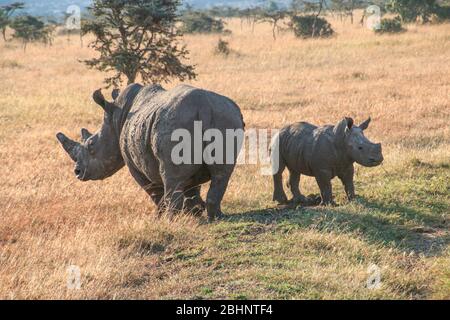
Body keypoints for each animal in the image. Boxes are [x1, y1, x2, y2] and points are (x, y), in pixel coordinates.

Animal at [58, 84, 246, 221]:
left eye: (91, 145)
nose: (77, 172)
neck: (114, 120)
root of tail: (204, 107)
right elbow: (192, 187)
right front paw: (194, 212)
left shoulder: (132, 163)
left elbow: (153, 189)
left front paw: (159, 217)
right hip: (226, 116)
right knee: (222, 173)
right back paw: (216, 217)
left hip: (175, 124)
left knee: (171, 177)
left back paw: (171, 220)